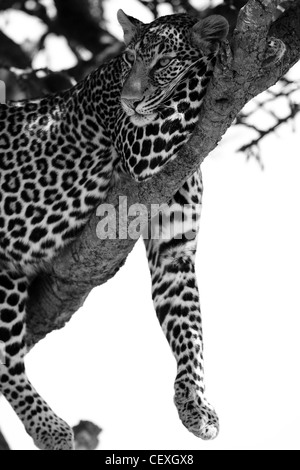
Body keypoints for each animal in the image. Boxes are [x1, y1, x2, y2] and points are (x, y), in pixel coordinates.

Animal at [0, 9, 284, 450]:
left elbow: (190, 329)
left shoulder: (174, 249)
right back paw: (48, 427)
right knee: (5, 362)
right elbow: (196, 80)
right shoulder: (141, 143)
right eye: (130, 60)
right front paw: (222, 54)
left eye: (162, 63)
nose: (129, 101)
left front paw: (194, 403)